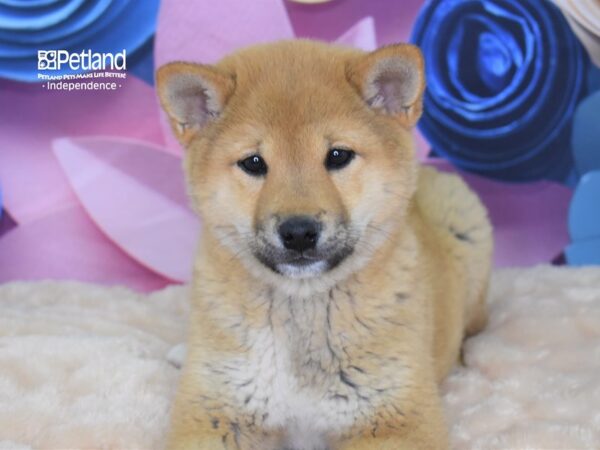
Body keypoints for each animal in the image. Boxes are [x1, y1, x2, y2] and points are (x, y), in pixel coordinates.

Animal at [156, 39, 492, 450]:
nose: (299, 231)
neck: (303, 313)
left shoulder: (395, 419)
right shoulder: (216, 409)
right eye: (253, 163)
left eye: (338, 156)